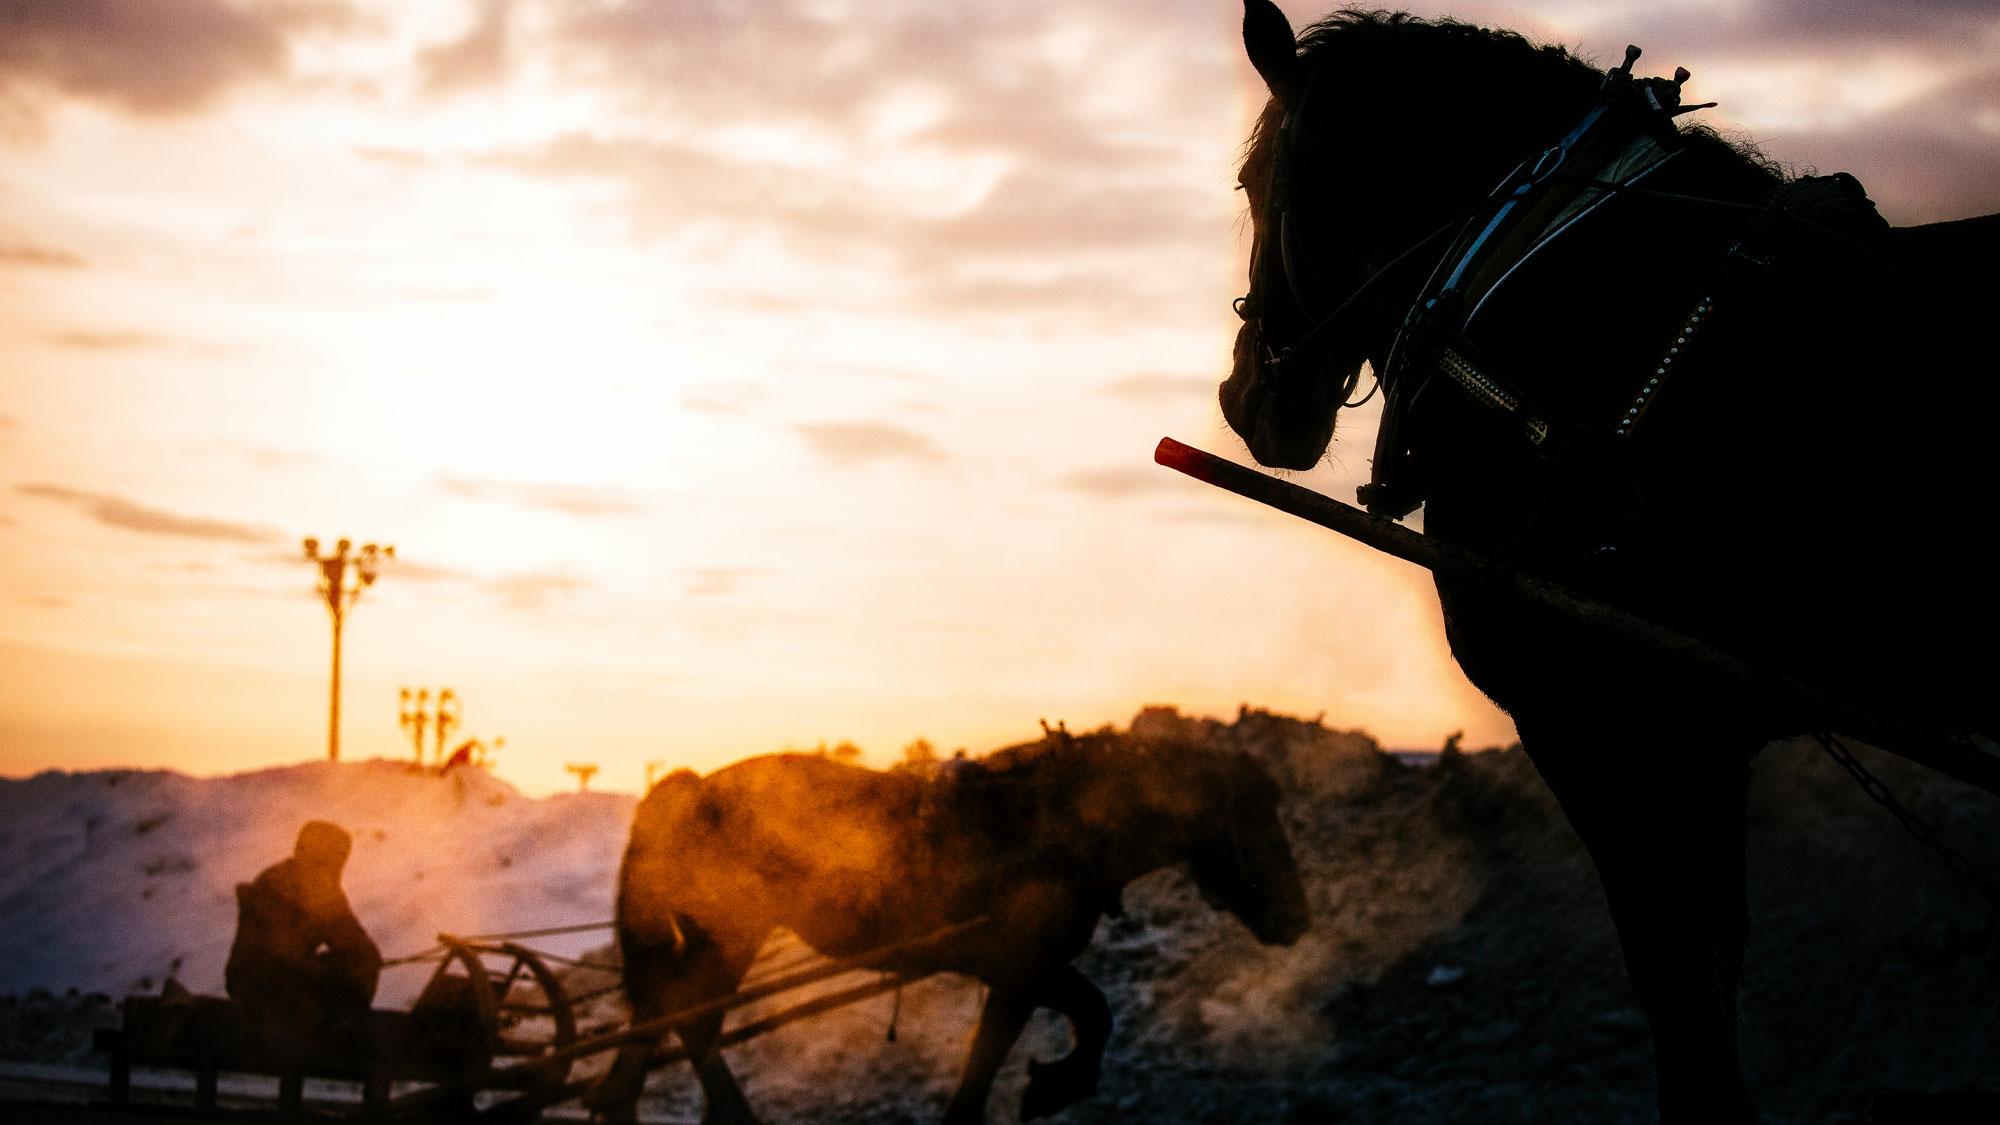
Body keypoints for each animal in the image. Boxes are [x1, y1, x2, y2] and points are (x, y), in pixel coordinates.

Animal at [584, 732, 1312, 1120]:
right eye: (1253, 815)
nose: (1297, 917)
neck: (1059, 827)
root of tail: (689, 787)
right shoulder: (1020, 963)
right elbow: (1095, 1012)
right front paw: (1055, 1086)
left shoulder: (1018, 978)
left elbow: (985, 1065)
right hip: (731, 934)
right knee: (689, 1018)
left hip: (712, 939)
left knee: (667, 1013)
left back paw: (622, 1103)